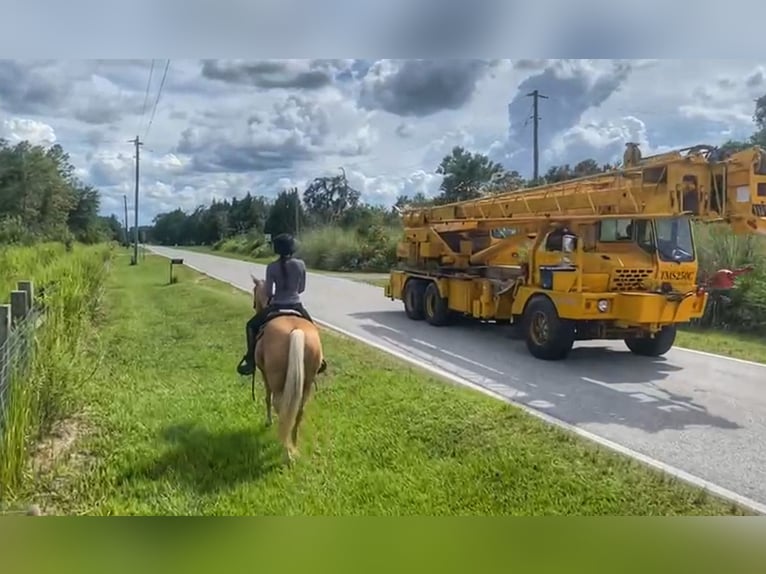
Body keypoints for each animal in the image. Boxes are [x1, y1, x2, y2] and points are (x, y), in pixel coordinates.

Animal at [252, 274, 324, 464]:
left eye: (254, 291)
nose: (254, 305)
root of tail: (296, 330)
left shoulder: (264, 373)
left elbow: (267, 398)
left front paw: (268, 421)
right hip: (306, 382)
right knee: (298, 410)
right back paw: (293, 444)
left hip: (277, 381)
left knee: (280, 405)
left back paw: (286, 450)